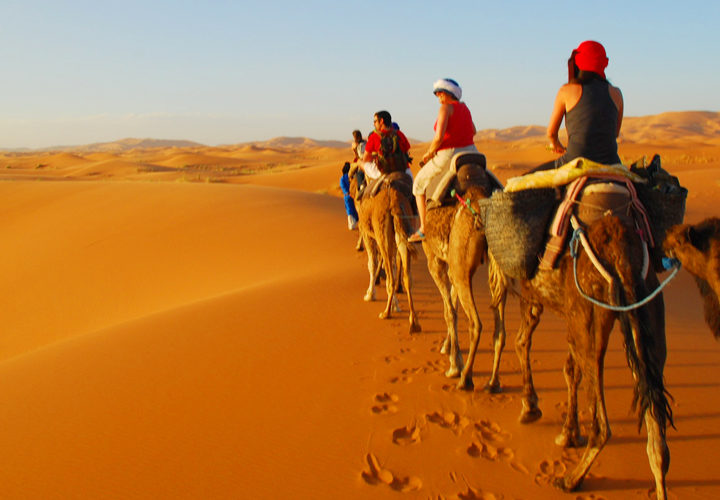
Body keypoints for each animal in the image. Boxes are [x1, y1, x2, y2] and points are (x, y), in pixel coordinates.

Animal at [349, 169, 421, 334]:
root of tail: (393, 200)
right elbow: (393, 267)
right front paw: (396, 305)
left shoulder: (368, 234)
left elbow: (372, 264)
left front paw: (370, 294)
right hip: (403, 230)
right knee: (407, 277)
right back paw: (413, 322)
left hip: (382, 233)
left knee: (390, 277)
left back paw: (386, 313)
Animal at [420, 154, 507, 391]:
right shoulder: (453, 266)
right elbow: (452, 304)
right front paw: (447, 347)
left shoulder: (435, 262)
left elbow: (449, 310)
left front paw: (454, 364)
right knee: (500, 329)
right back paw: (493, 382)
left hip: (459, 267)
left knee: (476, 323)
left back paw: (465, 378)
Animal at [497, 212, 673, 499]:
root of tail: (621, 251)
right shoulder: (572, 317)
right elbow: (570, 371)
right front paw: (569, 434)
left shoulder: (532, 294)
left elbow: (522, 342)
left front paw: (530, 408)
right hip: (647, 312)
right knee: (657, 434)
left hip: (590, 312)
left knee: (602, 426)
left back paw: (570, 480)